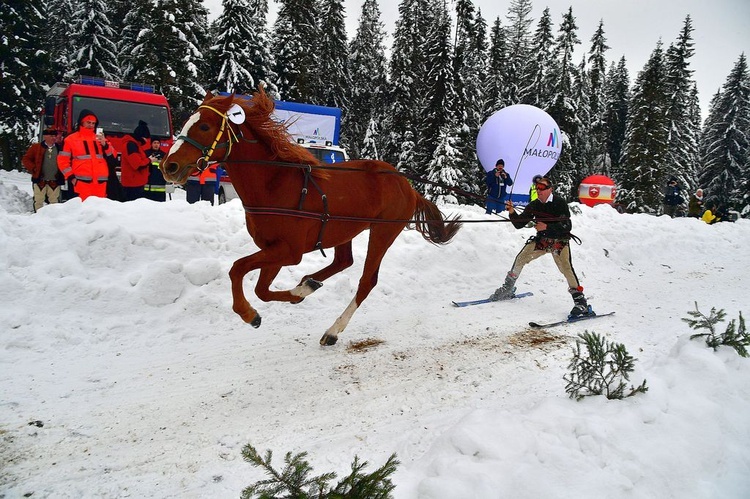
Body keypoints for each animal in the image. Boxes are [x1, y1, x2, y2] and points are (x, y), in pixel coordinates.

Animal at [162, 88, 462, 346]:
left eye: (204, 126)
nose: (169, 166)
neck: (274, 185)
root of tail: (407, 186)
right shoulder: (273, 249)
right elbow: (261, 289)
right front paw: (298, 293)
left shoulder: (289, 250)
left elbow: (237, 269)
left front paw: (250, 314)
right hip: (344, 231)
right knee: (343, 261)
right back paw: (310, 281)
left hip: (383, 232)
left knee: (367, 281)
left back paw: (332, 330)